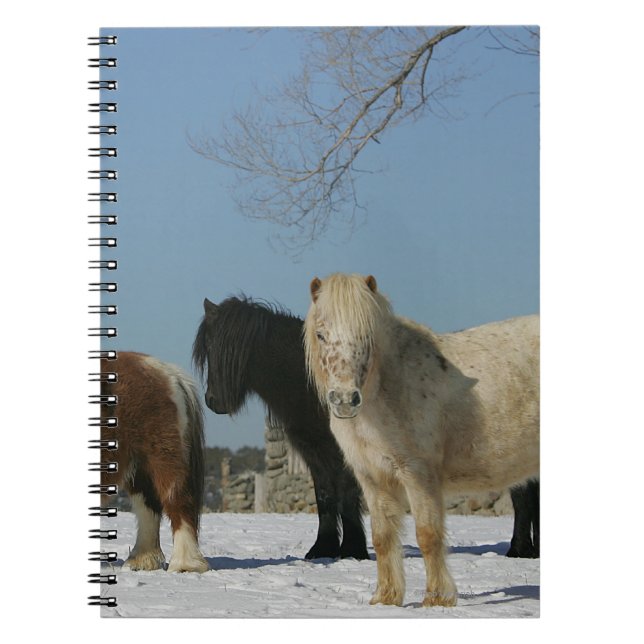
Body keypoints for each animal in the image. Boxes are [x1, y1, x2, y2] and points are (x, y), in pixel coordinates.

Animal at [100, 351, 209, 573]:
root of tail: (166, 371)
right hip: (139, 468)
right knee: (148, 507)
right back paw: (141, 560)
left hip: (161, 458)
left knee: (177, 502)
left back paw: (185, 564)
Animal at [192, 296, 369, 561]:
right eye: (208, 347)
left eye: (222, 348)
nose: (213, 400)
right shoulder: (313, 447)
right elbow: (324, 492)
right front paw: (322, 548)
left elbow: (347, 489)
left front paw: (353, 550)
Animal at [304, 273, 539, 607]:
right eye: (321, 335)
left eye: (366, 335)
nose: (345, 400)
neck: (389, 387)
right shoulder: (373, 479)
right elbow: (383, 538)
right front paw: (385, 599)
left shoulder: (418, 473)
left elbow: (428, 535)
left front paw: (437, 599)